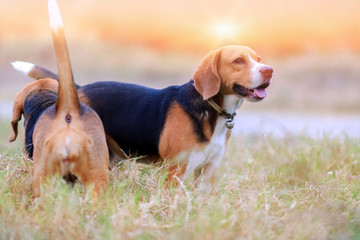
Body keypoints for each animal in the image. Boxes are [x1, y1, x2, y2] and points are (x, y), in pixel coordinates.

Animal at [12, 46, 272, 193]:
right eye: (238, 60)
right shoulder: (176, 171)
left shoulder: (208, 170)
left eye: (259, 58)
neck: (213, 110)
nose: (269, 70)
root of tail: (77, 90)